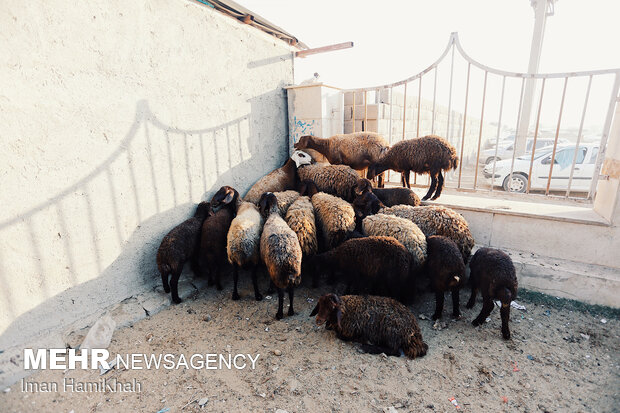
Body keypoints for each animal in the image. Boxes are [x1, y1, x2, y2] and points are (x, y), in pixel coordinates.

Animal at [260, 192, 302, 320]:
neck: (274, 214)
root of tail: (289, 264)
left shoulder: (268, 265)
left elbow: (269, 279)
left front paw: (269, 289)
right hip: (294, 275)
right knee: (292, 293)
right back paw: (291, 311)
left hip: (279, 275)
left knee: (281, 295)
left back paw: (279, 314)